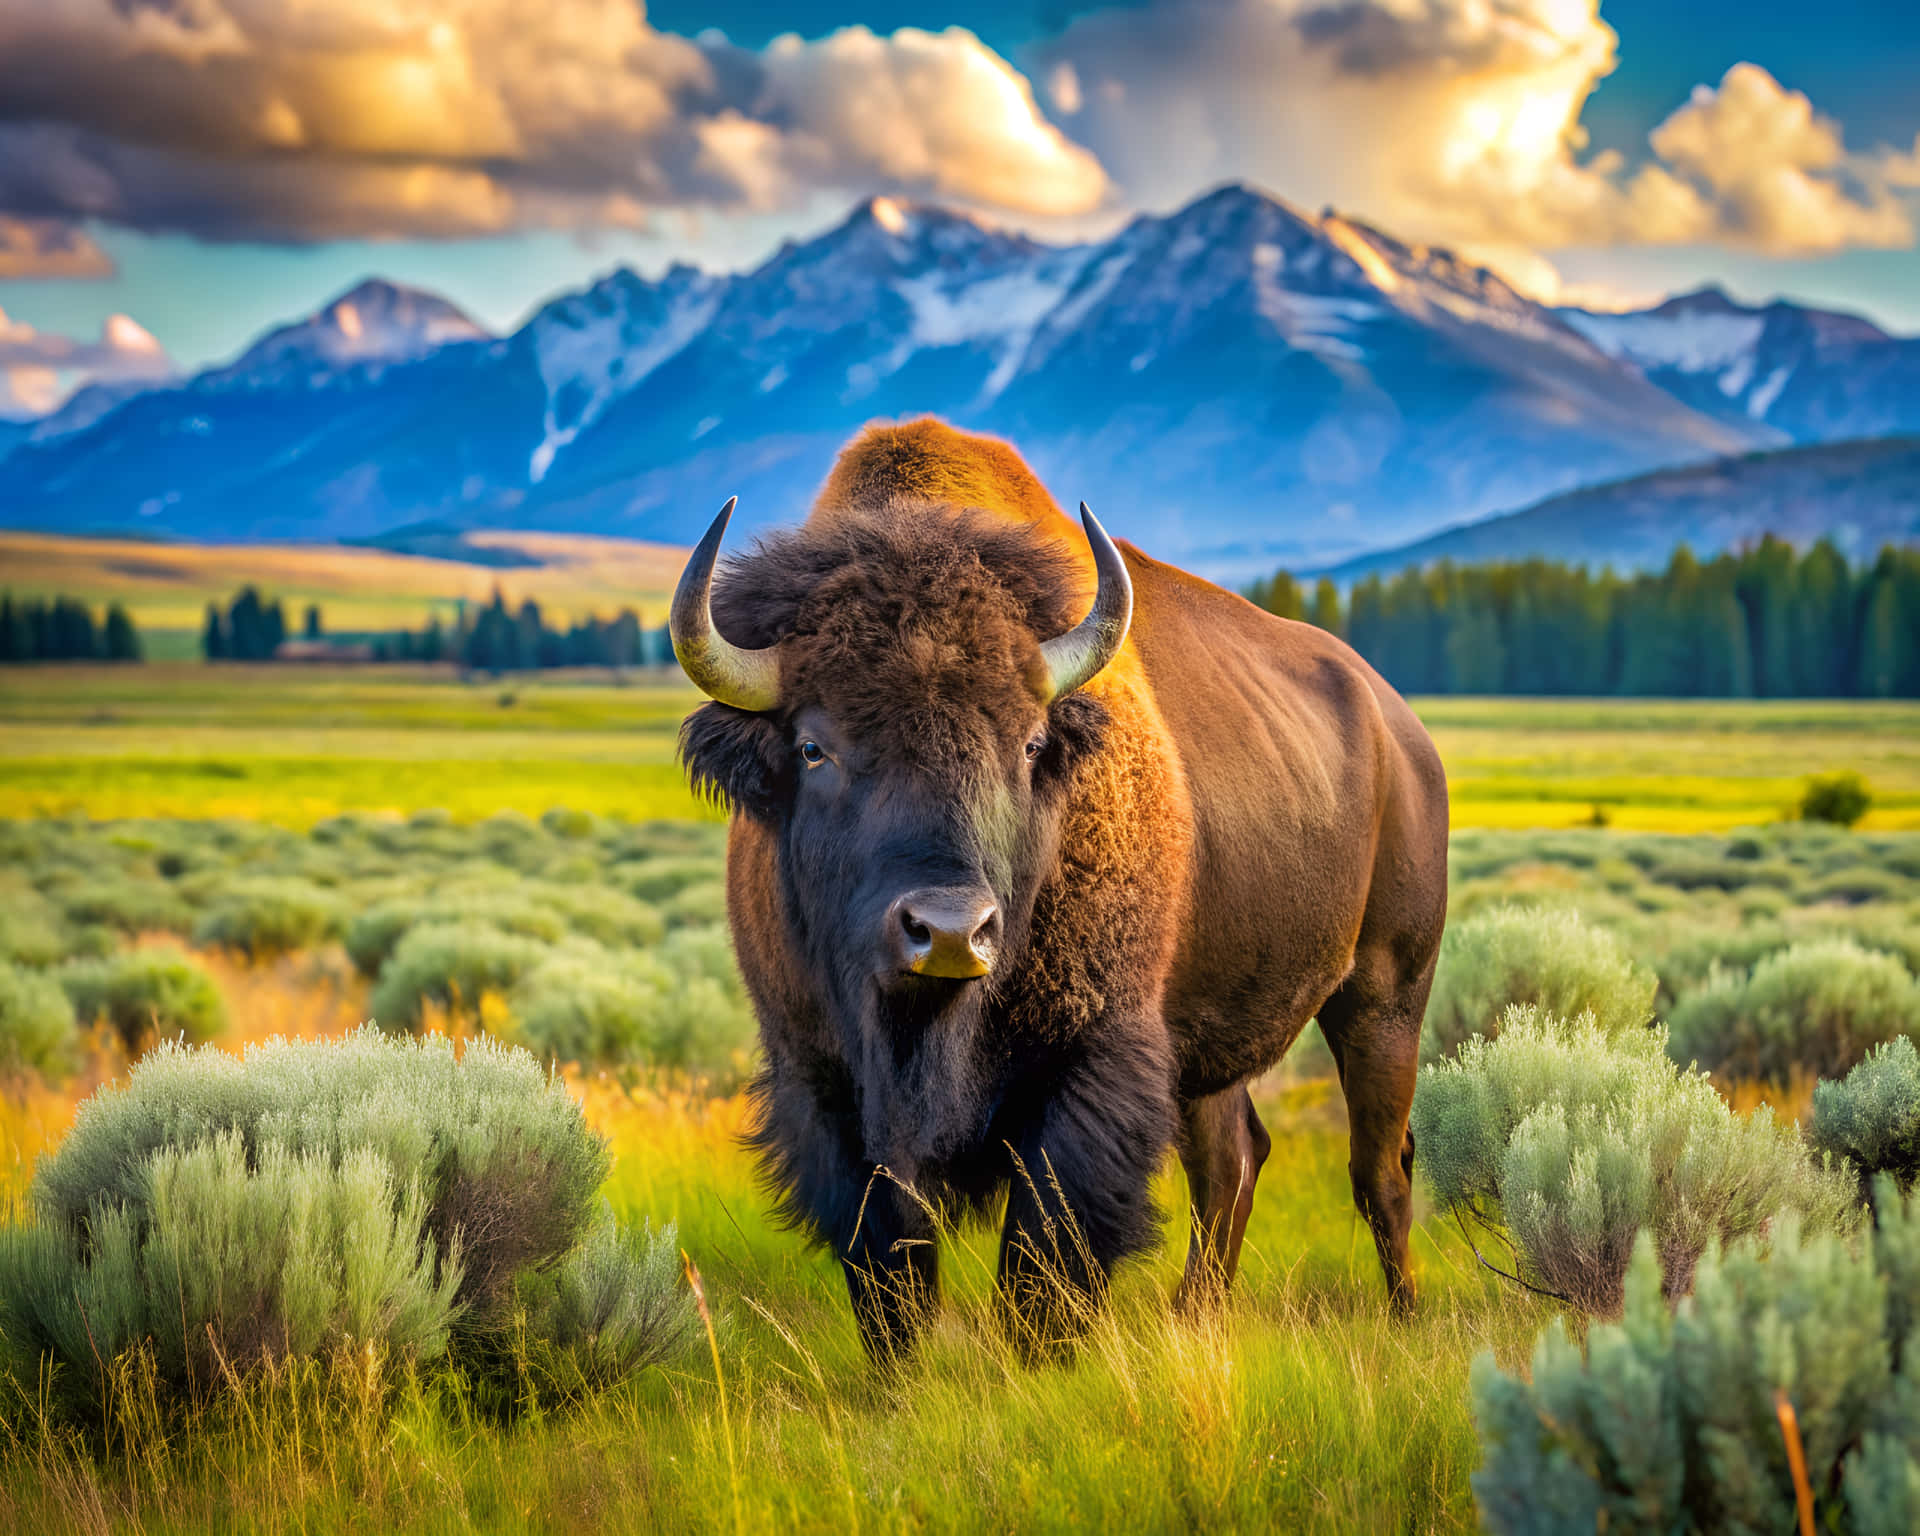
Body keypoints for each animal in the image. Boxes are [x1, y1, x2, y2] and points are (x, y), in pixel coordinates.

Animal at [673, 419, 1448, 1357]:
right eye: (814, 748)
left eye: (1031, 743)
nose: (950, 931)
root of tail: (1399, 730)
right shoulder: (823, 1085)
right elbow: (890, 1275)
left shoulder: (1090, 1067)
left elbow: (1041, 1265)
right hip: (1210, 1042)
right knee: (1233, 1160)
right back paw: (1195, 1320)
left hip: (1384, 994)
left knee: (1379, 1168)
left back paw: (1405, 1319)